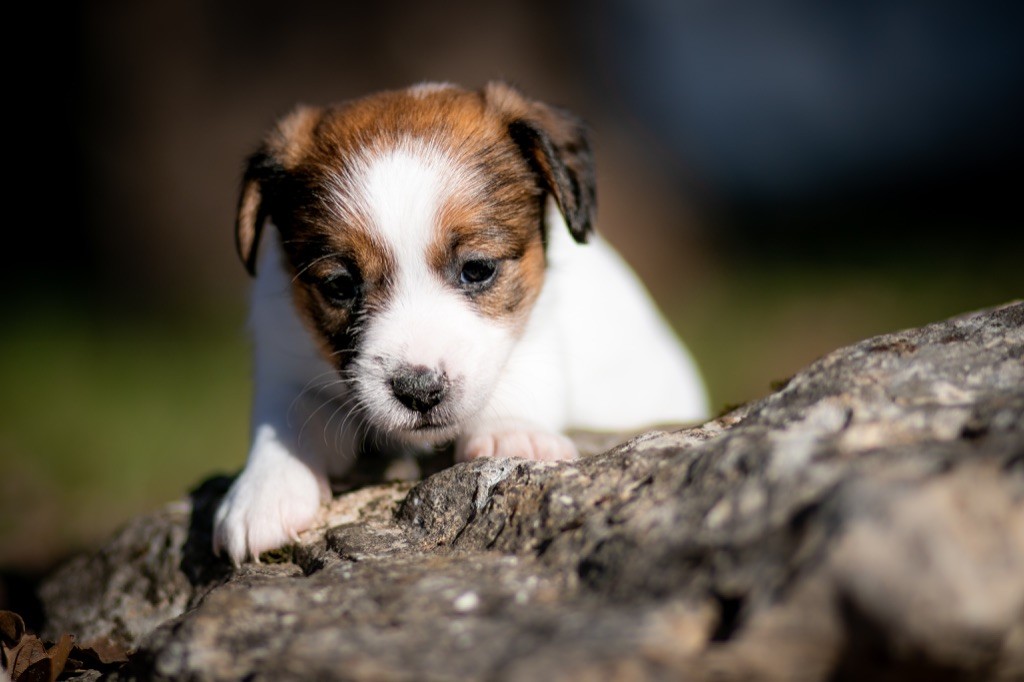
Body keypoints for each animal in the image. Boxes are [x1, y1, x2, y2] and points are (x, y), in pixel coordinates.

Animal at [214, 79, 712, 561]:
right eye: (340, 286)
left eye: (477, 269)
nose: (419, 391)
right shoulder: (282, 348)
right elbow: (286, 414)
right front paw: (264, 491)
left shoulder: (539, 318)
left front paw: (512, 433)